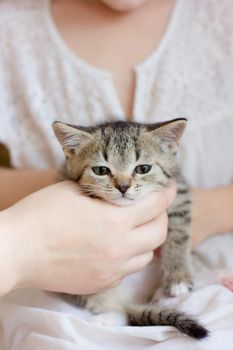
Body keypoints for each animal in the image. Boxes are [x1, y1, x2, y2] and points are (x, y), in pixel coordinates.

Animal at [52, 118, 208, 340]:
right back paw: (103, 322)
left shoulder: (179, 192)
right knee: (120, 312)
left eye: (143, 168)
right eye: (101, 171)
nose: (123, 186)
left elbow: (178, 233)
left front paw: (178, 276)